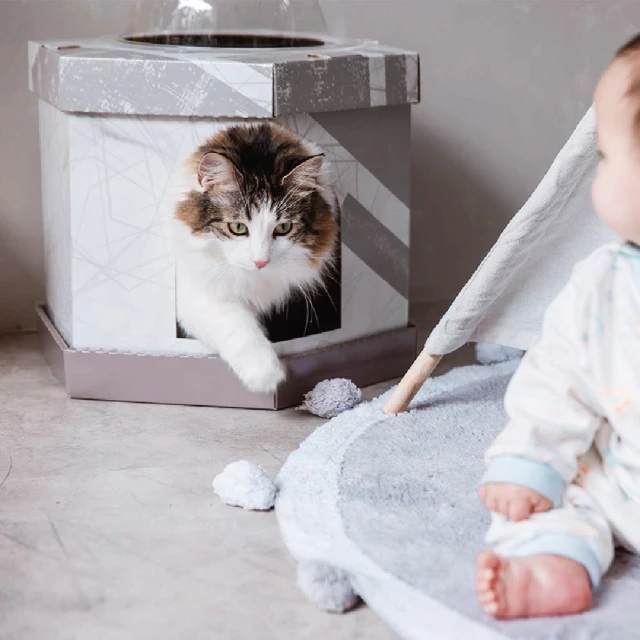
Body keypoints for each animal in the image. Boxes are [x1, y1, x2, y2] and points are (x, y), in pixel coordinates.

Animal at [170, 119, 340, 390]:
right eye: (238, 228)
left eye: (283, 228)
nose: (260, 262)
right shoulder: (195, 292)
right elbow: (235, 323)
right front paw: (265, 373)